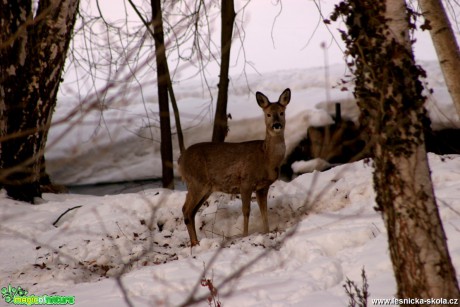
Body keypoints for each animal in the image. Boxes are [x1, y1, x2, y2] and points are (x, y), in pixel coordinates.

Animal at [180, 88, 292, 247]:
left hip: (205, 188)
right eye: (268, 114)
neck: (267, 159)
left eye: (282, 112)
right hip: (196, 181)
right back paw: (195, 243)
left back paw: (196, 242)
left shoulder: (262, 187)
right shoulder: (246, 181)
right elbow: (246, 210)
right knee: (186, 209)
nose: (276, 125)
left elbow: (264, 211)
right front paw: (245, 235)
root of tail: (179, 161)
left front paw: (267, 231)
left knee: (191, 211)